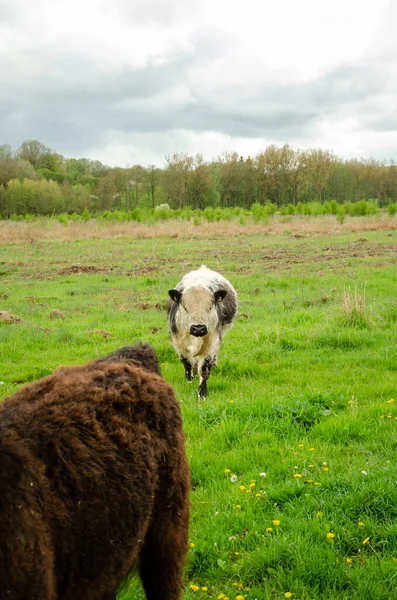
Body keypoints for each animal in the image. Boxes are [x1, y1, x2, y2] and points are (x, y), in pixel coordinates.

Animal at [166, 266, 237, 398]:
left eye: (209, 308)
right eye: (185, 308)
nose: (198, 328)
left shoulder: (212, 342)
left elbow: (204, 368)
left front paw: (202, 393)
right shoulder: (179, 343)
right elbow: (187, 363)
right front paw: (189, 381)